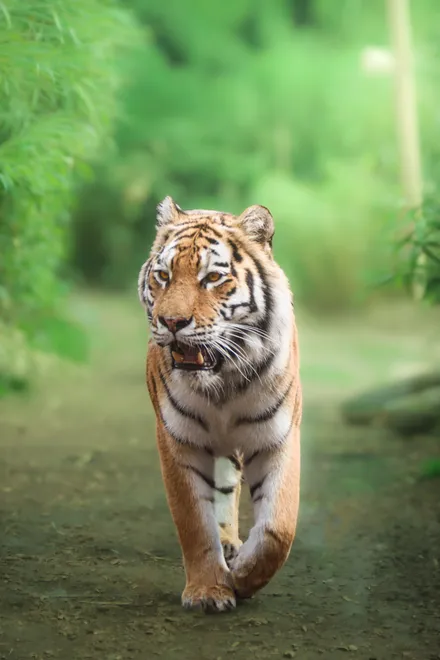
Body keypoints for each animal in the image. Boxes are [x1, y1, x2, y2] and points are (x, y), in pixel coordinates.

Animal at [138, 196, 302, 612]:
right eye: (163, 276)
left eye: (212, 278)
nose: (172, 321)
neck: (222, 383)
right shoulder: (178, 440)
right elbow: (195, 521)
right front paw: (208, 591)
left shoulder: (278, 437)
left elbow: (278, 528)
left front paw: (243, 575)